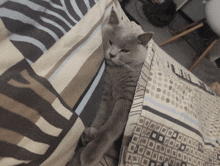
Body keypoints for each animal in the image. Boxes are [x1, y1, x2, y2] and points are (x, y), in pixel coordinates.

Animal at [67, 9, 152, 166]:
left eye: (125, 50)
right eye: (110, 42)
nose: (112, 54)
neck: (115, 73)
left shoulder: (127, 100)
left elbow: (109, 129)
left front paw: (89, 154)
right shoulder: (106, 95)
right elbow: (101, 117)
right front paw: (87, 139)